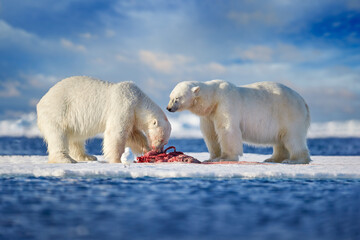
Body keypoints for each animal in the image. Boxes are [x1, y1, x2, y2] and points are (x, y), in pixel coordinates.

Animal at [37, 76, 172, 164]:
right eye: (161, 140)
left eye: (165, 142)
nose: (158, 150)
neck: (138, 99)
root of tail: (41, 101)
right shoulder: (123, 104)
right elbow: (117, 133)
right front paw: (117, 159)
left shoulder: (132, 115)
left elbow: (133, 135)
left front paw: (146, 150)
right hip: (58, 111)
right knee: (58, 135)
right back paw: (66, 159)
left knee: (76, 139)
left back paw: (87, 157)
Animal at [167, 79, 310, 164]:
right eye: (170, 97)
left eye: (177, 98)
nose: (168, 108)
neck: (213, 98)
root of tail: (303, 101)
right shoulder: (209, 115)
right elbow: (210, 134)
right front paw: (211, 158)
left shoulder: (225, 104)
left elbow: (227, 130)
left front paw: (225, 157)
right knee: (281, 140)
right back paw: (273, 159)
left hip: (288, 113)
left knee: (293, 137)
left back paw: (294, 160)